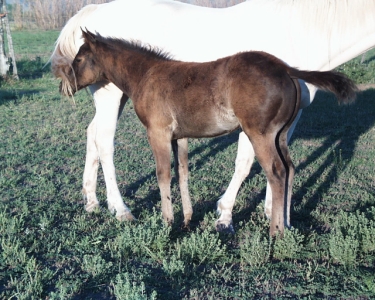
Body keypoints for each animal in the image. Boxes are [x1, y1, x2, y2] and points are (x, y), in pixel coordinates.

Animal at [50, 0, 375, 230]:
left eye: (80, 58)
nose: (66, 84)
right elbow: (224, 166)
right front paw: (220, 216)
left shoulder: (283, 122)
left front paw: (268, 214)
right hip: (111, 96)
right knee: (103, 141)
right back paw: (114, 208)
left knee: (93, 135)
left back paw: (96, 203)